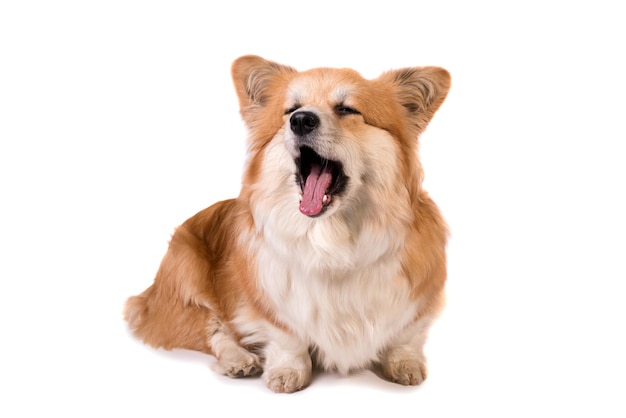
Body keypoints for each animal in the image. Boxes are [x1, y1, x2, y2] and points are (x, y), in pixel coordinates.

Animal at [124, 54, 450, 392]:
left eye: (347, 109)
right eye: (291, 110)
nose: (301, 120)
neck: (332, 240)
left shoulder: (420, 298)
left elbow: (406, 335)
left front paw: (405, 365)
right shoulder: (268, 298)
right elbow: (286, 336)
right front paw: (287, 371)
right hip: (185, 273)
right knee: (211, 328)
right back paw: (238, 360)